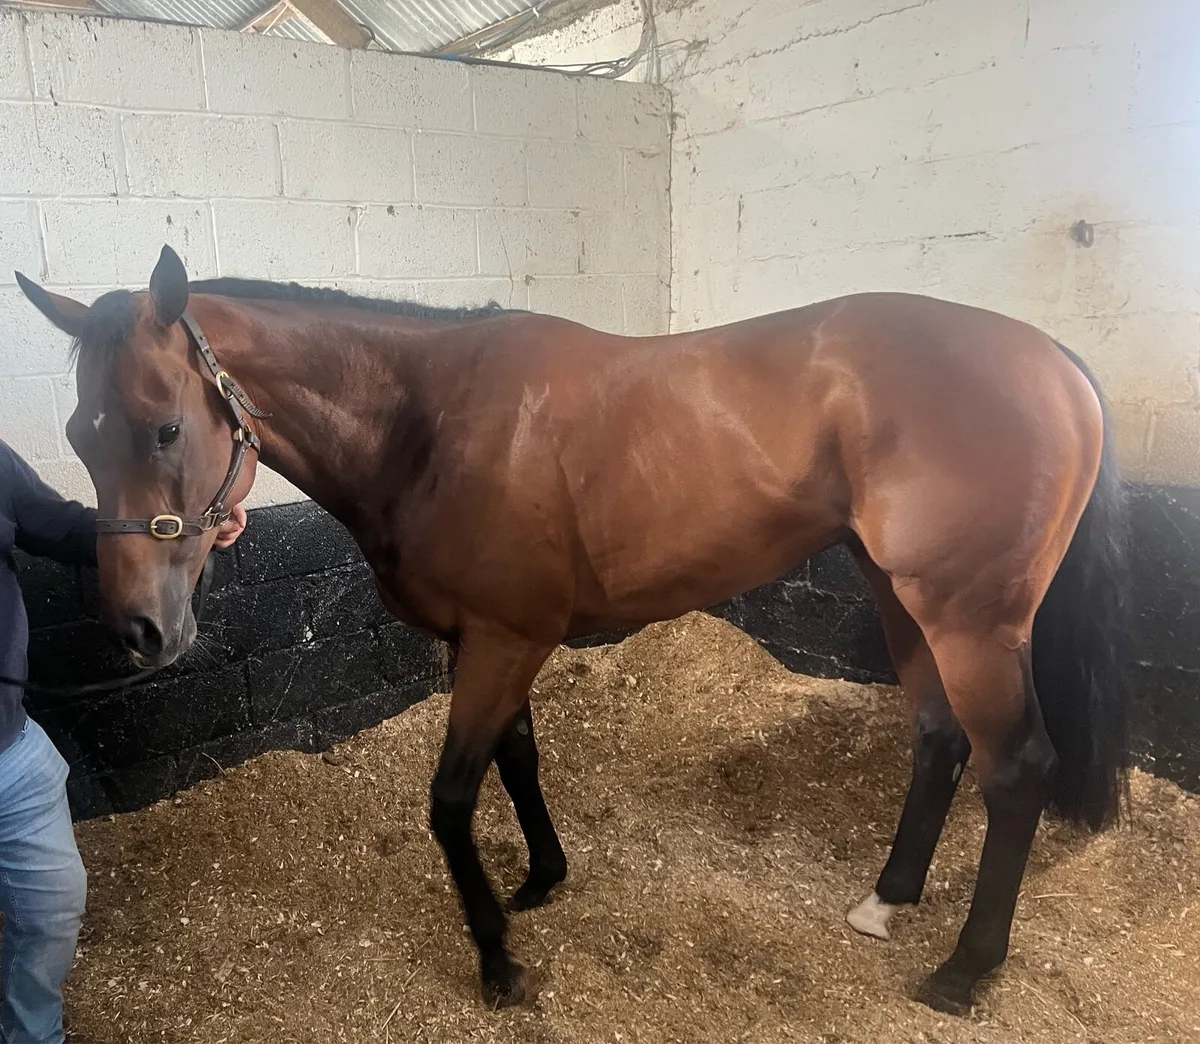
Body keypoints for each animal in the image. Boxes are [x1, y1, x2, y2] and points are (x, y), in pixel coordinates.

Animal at [15, 245, 1128, 1016]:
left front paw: (499, 961)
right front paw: (541, 880)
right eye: (76, 434)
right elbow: (518, 759)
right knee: (940, 740)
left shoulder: (507, 639)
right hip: (900, 598)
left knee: (1016, 767)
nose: (139, 630)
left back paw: (965, 970)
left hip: (970, 620)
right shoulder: (485, 639)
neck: (428, 421)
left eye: (165, 427)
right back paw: (888, 900)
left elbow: (453, 798)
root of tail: (1055, 362)